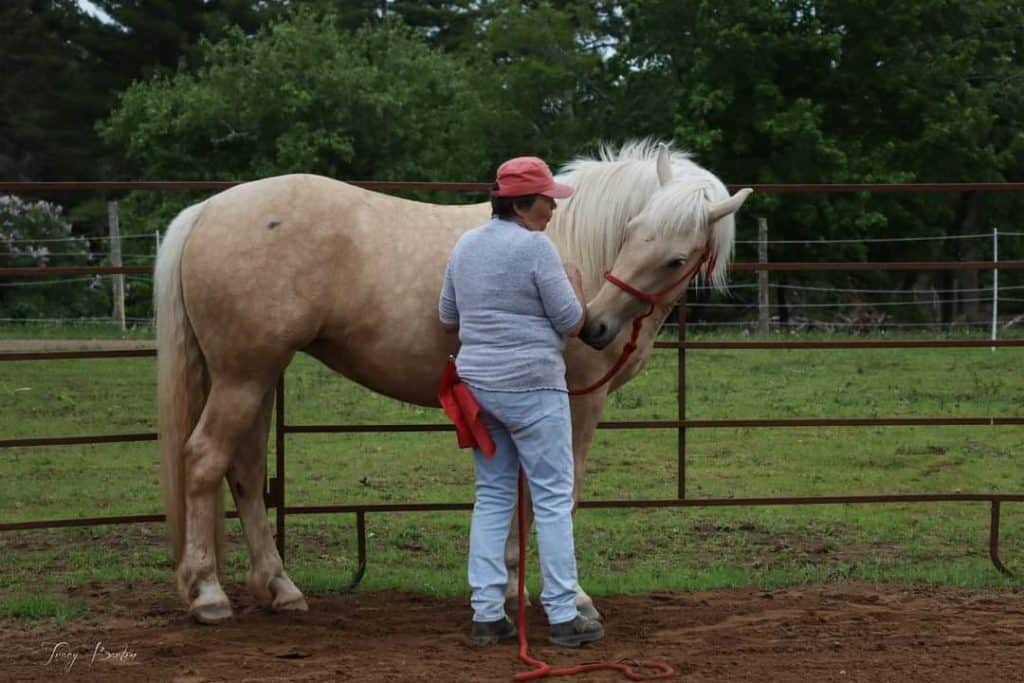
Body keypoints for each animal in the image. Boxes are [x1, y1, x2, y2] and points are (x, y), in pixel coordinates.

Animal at [155, 140, 751, 623]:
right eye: (630, 232)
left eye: (674, 257)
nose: (595, 325)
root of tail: (209, 209)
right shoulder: (578, 403)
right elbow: (562, 491)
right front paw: (573, 599)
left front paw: (511, 586)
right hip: (243, 377)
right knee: (205, 460)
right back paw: (209, 595)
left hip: (256, 377)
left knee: (246, 471)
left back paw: (280, 590)